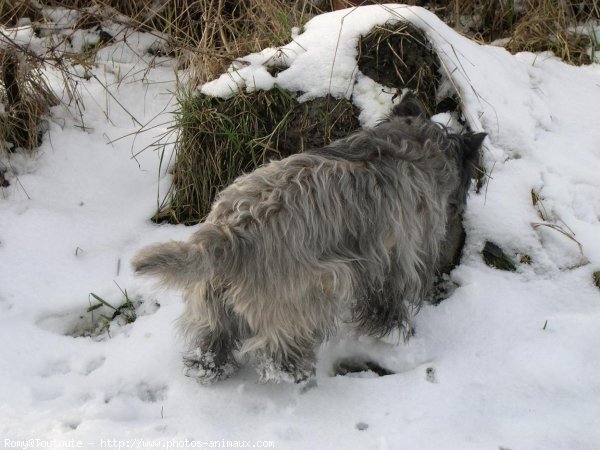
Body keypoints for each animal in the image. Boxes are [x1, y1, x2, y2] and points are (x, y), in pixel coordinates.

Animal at [131, 94, 482, 384]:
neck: (412, 146)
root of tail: (226, 232)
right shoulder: (397, 257)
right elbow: (388, 300)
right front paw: (395, 334)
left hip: (214, 300)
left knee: (211, 340)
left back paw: (210, 366)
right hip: (306, 293)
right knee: (279, 349)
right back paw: (294, 370)